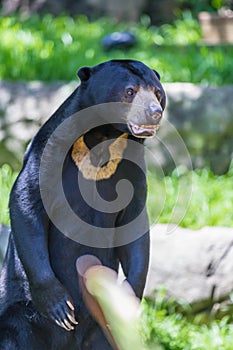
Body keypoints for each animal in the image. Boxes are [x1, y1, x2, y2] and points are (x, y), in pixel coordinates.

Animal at [0, 58, 166, 348]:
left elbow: (134, 225)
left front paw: (127, 299)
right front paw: (60, 307)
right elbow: (27, 201)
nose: (154, 113)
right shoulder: (48, 150)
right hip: (18, 311)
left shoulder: (132, 166)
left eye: (157, 93)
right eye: (130, 91)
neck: (104, 135)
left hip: (100, 331)